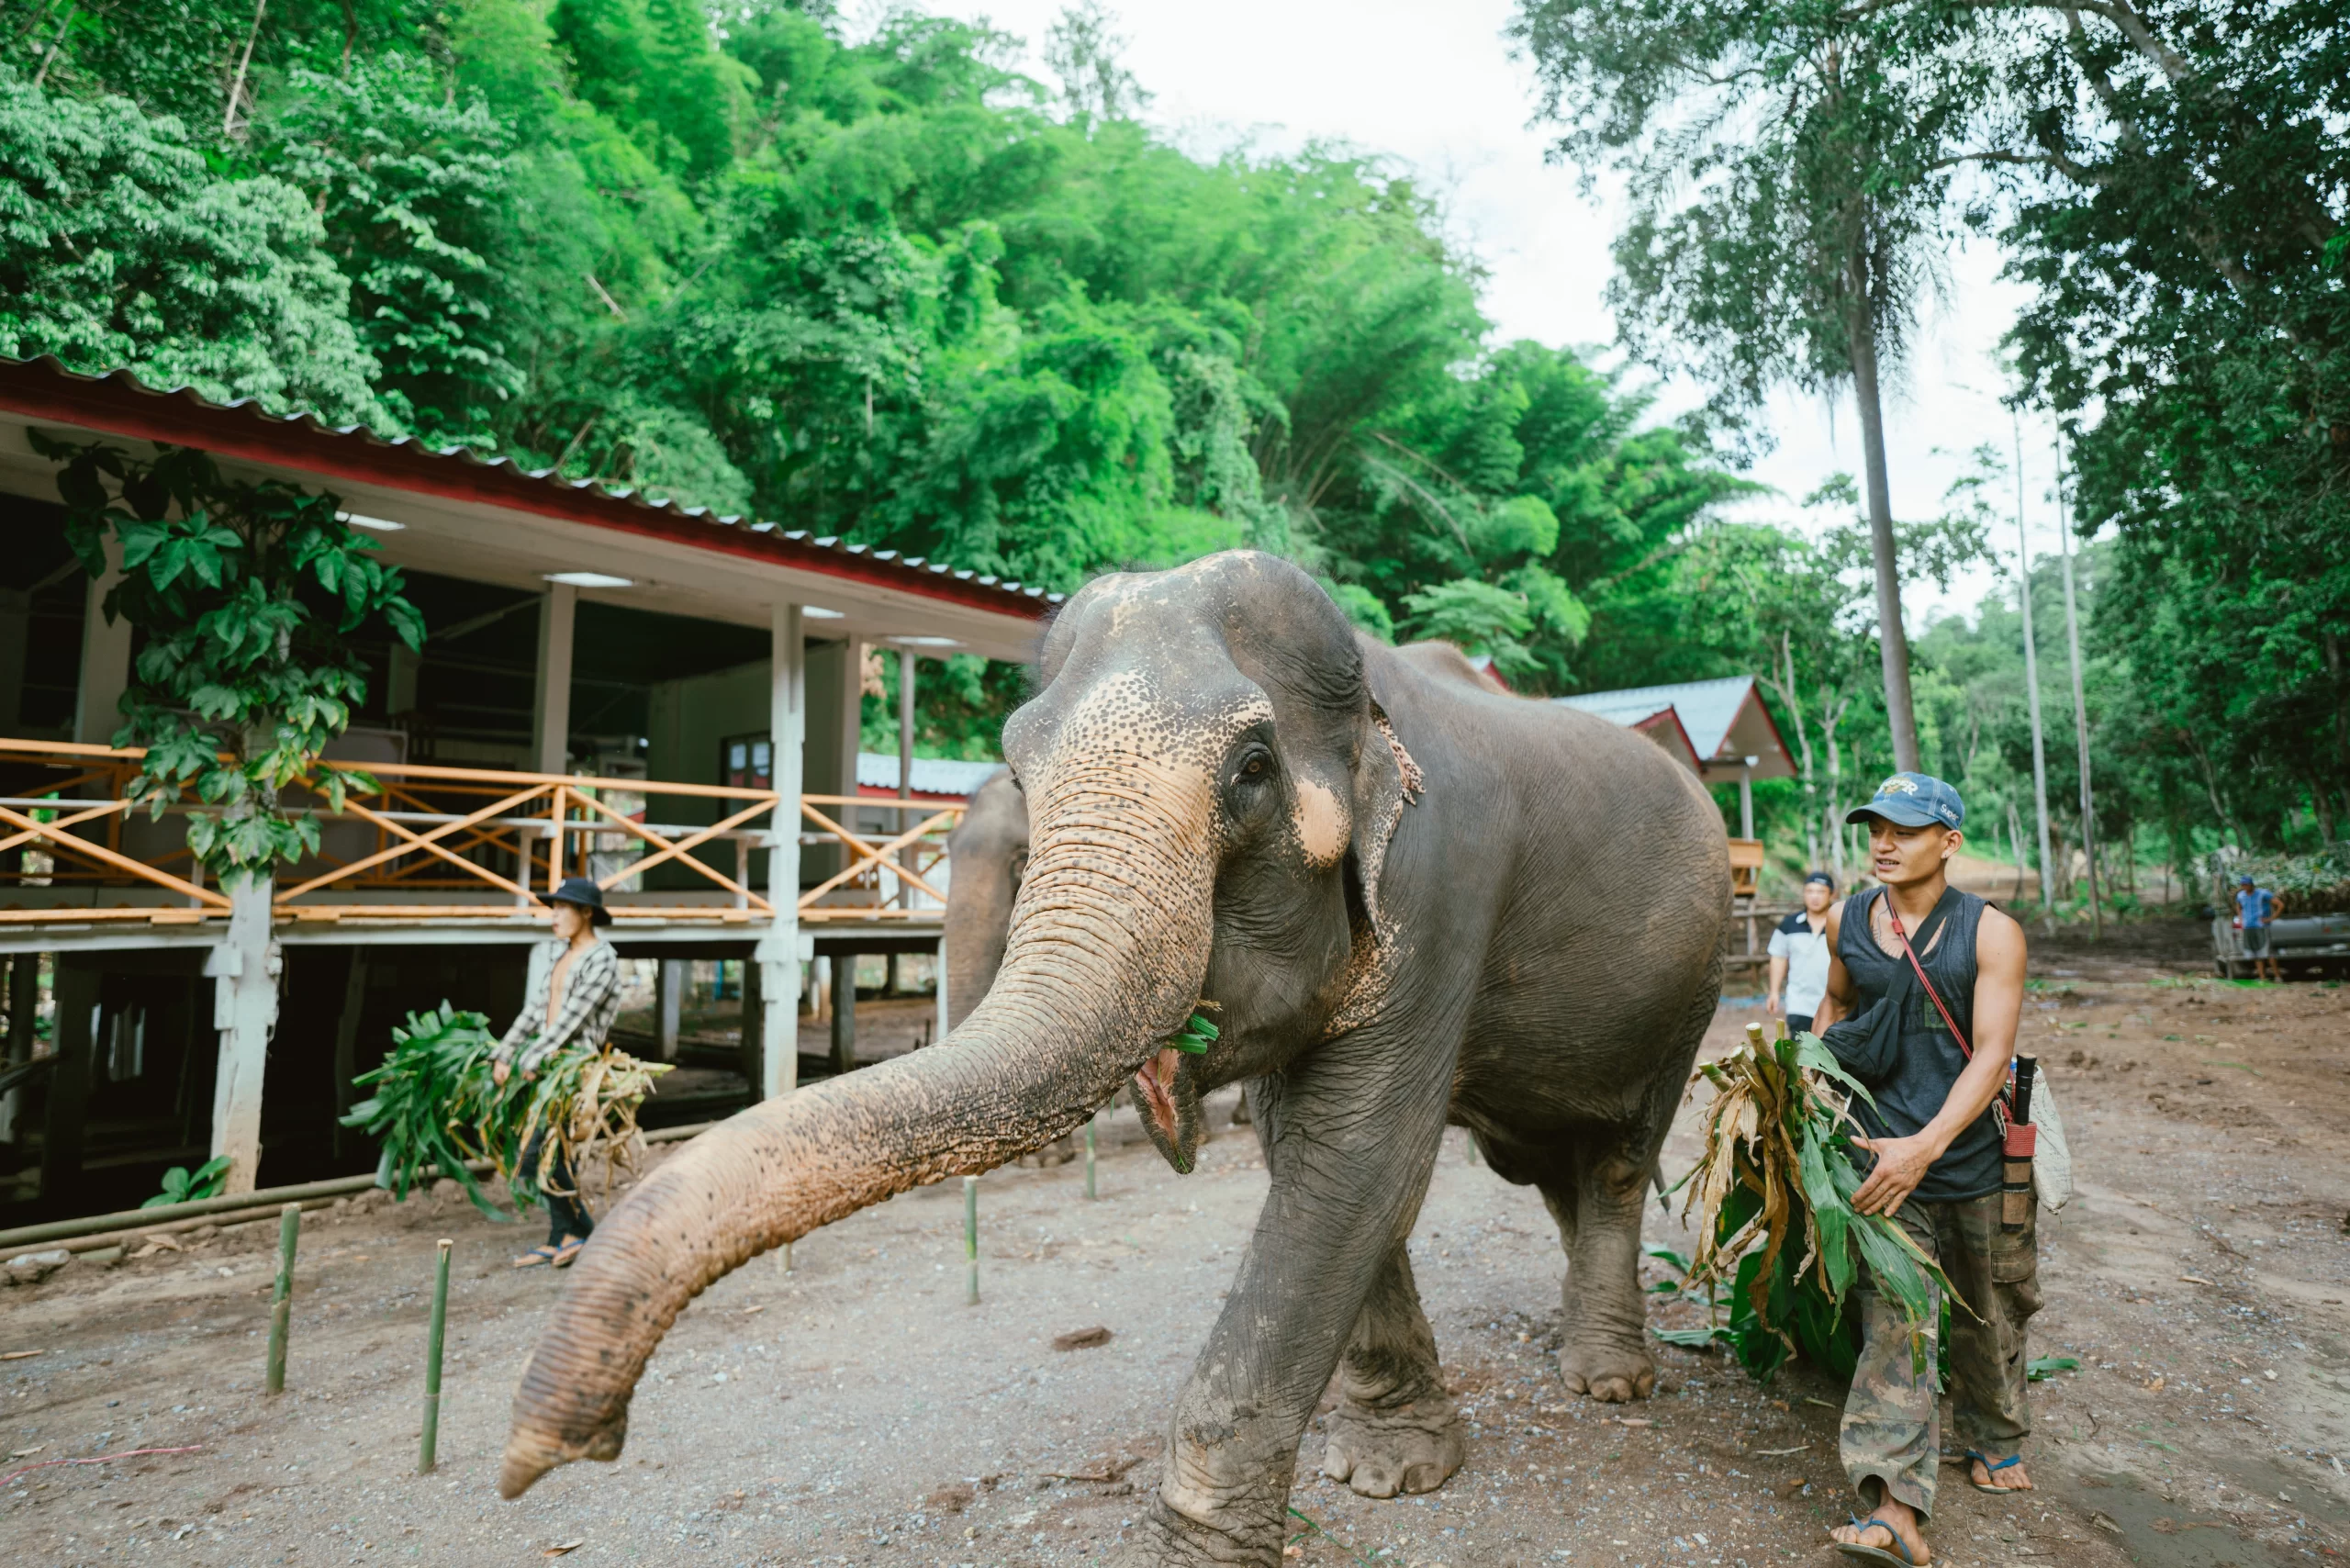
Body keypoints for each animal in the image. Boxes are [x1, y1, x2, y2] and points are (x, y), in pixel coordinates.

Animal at [500, 556, 1729, 1561]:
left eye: (1250, 769)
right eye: (1018, 769)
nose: (560, 1452)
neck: (1371, 690)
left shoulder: (1442, 888)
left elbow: (1361, 1163)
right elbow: (1318, 1161)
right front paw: (1383, 1473)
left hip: (1698, 979)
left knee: (1617, 1160)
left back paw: (1607, 1379)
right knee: (1553, 1164)